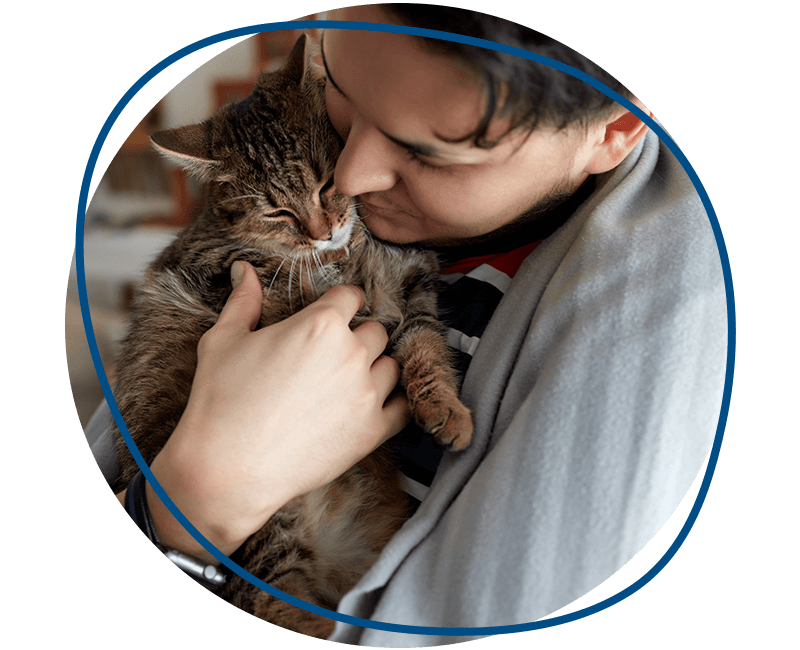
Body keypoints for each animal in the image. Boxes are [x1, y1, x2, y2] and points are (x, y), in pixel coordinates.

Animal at [111, 33, 476, 636]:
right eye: (278, 212)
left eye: (329, 182)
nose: (323, 231)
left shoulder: (416, 288)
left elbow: (425, 347)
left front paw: (445, 408)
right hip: (258, 522)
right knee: (268, 597)